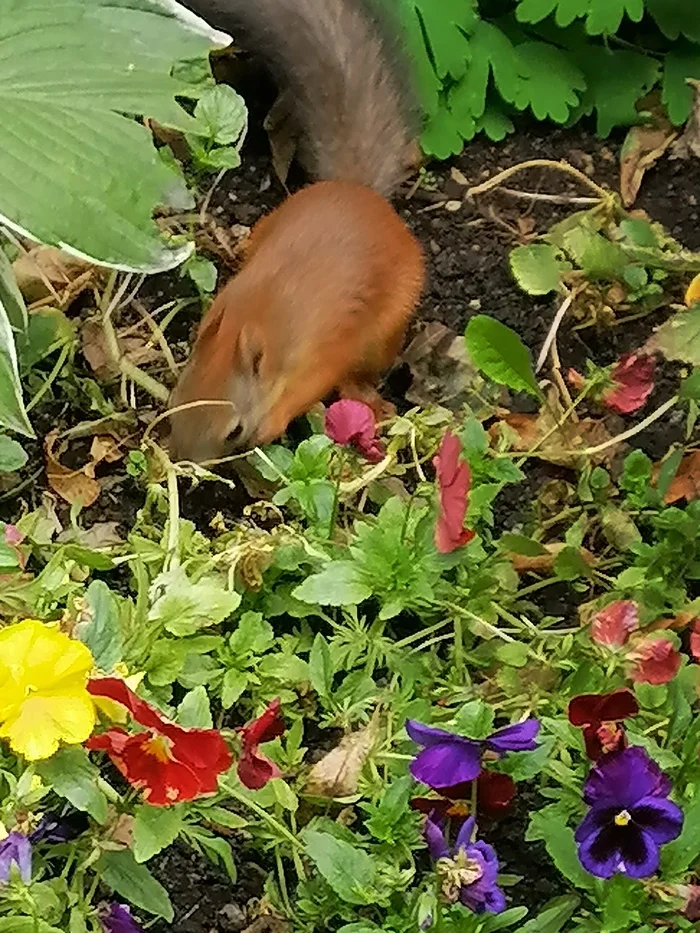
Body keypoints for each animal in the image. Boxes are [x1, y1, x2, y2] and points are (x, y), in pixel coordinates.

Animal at [170, 0, 424, 462]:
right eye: (175, 402)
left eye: (233, 431)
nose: (184, 464)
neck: (257, 320)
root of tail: (359, 192)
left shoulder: (321, 352)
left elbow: (314, 385)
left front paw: (272, 425)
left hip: (389, 325)